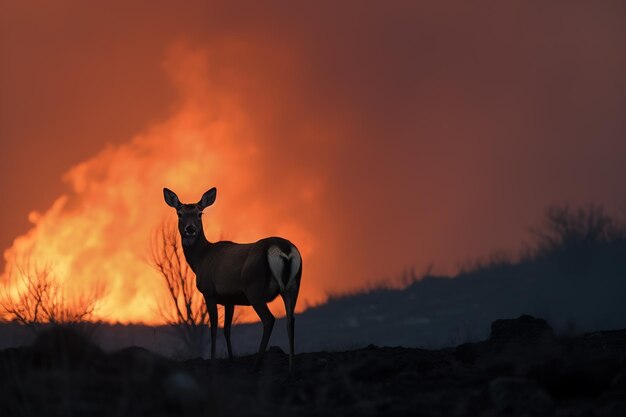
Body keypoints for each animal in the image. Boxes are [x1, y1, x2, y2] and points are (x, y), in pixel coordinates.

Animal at [162, 186, 302, 370]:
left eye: (200, 213)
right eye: (179, 213)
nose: (190, 229)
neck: (201, 260)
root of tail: (284, 250)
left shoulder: (209, 292)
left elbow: (214, 327)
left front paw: (213, 361)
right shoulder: (230, 299)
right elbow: (227, 329)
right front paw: (230, 359)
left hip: (255, 289)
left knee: (269, 320)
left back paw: (256, 364)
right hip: (294, 286)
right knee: (290, 320)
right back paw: (291, 368)